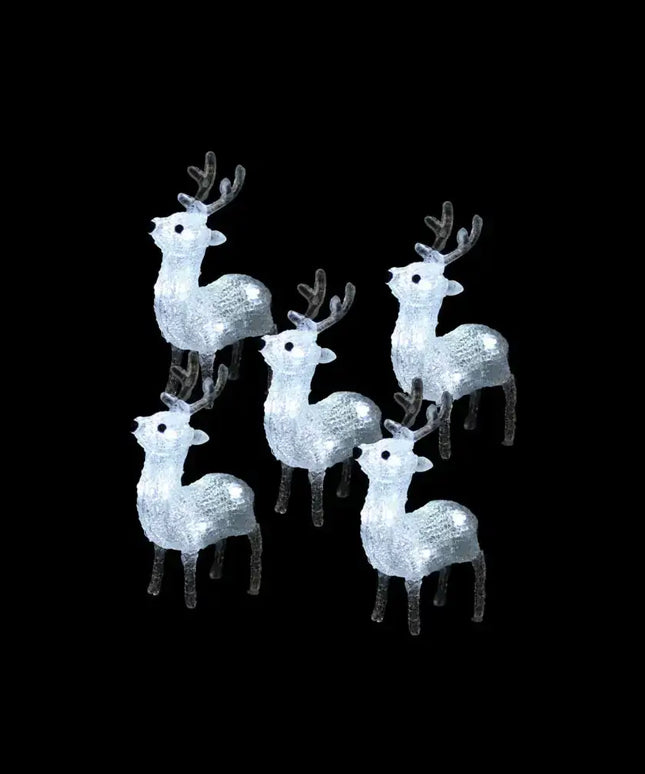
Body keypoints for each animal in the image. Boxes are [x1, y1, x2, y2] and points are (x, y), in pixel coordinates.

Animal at [131, 358, 262, 608]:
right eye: (155, 413)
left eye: (162, 427)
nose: (136, 423)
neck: (172, 502)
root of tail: (245, 486)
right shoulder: (159, 541)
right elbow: (158, 561)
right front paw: (152, 590)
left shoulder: (191, 542)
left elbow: (189, 572)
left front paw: (191, 601)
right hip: (224, 526)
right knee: (222, 541)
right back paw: (215, 573)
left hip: (246, 519)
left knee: (257, 536)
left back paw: (253, 586)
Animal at [149, 151, 275, 401]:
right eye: (172, 215)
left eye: (179, 228)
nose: (154, 223)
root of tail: (260, 285)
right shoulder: (175, 343)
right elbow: (173, 370)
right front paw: (168, 394)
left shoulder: (208, 344)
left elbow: (207, 375)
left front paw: (208, 402)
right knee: (238, 342)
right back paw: (234, 374)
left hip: (263, 321)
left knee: (273, 332)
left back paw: (267, 385)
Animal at [259, 270, 382, 527]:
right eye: (284, 333)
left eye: (289, 345)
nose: (264, 341)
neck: (300, 421)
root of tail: (366, 400)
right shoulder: (285, 459)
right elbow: (285, 480)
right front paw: (280, 509)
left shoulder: (318, 461)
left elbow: (316, 489)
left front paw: (317, 520)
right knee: (347, 461)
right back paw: (342, 492)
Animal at [354, 379, 486, 636]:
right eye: (380, 441)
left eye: (386, 453)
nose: (357, 449)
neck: (396, 529)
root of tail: (467, 511)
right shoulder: (383, 568)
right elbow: (382, 589)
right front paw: (376, 617)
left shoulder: (414, 570)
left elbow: (412, 599)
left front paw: (414, 628)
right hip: (448, 553)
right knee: (446, 568)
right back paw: (439, 600)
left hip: (470, 546)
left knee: (481, 562)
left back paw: (477, 614)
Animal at [389, 201, 516, 459]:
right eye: (410, 264)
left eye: (416, 277)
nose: (392, 273)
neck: (427, 352)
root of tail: (498, 335)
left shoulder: (445, 390)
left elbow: (443, 421)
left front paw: (445, 454)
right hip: (478, 377)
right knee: (477, 391)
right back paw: (469, 424)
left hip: (500, 370)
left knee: (511, 387)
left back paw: (508, 437)